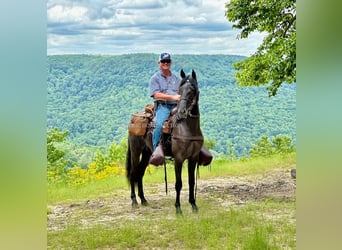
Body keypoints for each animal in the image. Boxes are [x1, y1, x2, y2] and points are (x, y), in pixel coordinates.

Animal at [127, 69, 204, 214]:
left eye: (192, 90)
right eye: (180, 89)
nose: (182, 111)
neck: (188, 128)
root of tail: (134, 119)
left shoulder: (193, 158)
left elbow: (191, 182)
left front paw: (193, 205)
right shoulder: (179, 158)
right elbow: (178, 184)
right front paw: (178, 208)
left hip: (147, 153)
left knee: (140, 173)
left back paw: (143, 199)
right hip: (135, 151)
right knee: (133, 172)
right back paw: (134, 200)